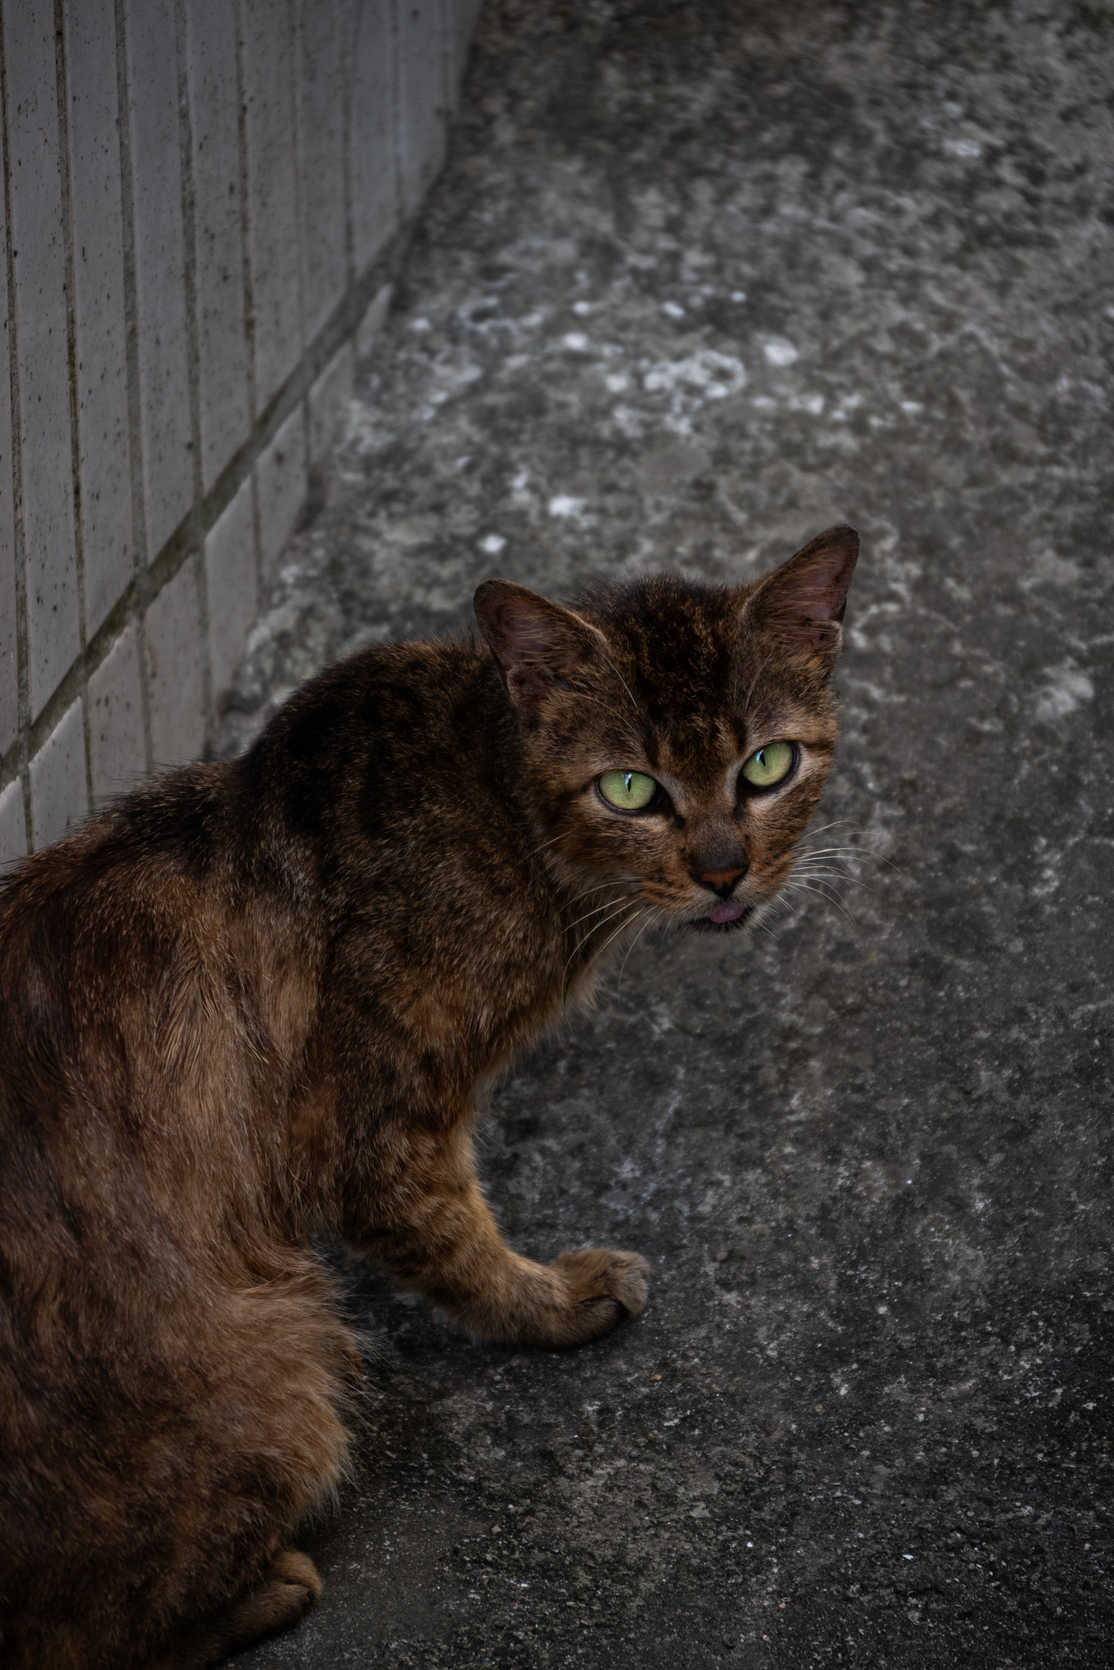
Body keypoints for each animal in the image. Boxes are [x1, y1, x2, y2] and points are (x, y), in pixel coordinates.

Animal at [0, 524, 861, 1670]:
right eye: (630, 789)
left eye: (767, 764)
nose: (725, 870)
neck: (489, 798)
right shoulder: (375, 1129)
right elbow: (457, 1239)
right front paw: (553, 1300)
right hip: (288, 1365)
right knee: (81, 1634)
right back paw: (272, 1589)